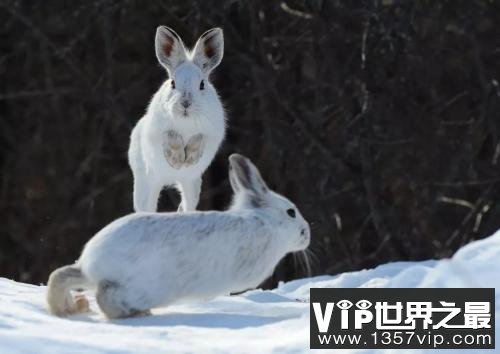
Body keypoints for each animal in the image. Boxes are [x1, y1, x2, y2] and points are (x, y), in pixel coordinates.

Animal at [47, 154, 312, 318]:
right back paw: (137, 313)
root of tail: (95, 262)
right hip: (146, 288)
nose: (306, 234)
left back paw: (69, 308)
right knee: (106, 297)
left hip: (88, 276)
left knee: (62, 276)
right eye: (291, 212)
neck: (265, 222)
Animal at [128, 27, 226, 213]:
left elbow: (199, 137)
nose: (185, 104)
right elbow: (171, 136)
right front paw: (177, 160)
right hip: (147, 181)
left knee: (186, 204)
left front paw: (189, 160)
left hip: (191, 184)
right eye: (173, 83)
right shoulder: (158, 131)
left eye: (202, 84)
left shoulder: (211, 133)